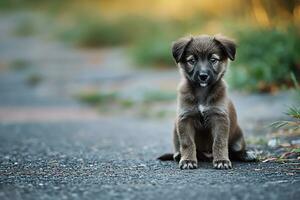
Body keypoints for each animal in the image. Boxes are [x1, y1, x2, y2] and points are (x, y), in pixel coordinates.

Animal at [159, 34, 255, 169]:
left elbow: (219, 142)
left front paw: (222, 160)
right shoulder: (185, 119)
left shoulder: (219, 118)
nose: (203, 76)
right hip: (175, 130)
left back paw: (246, 154)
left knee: (235, 152)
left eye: (213, 60)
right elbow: (187, 143)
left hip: (238, 138)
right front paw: (188, 160)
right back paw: (179, 155)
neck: (202, 92)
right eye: (192, 61)